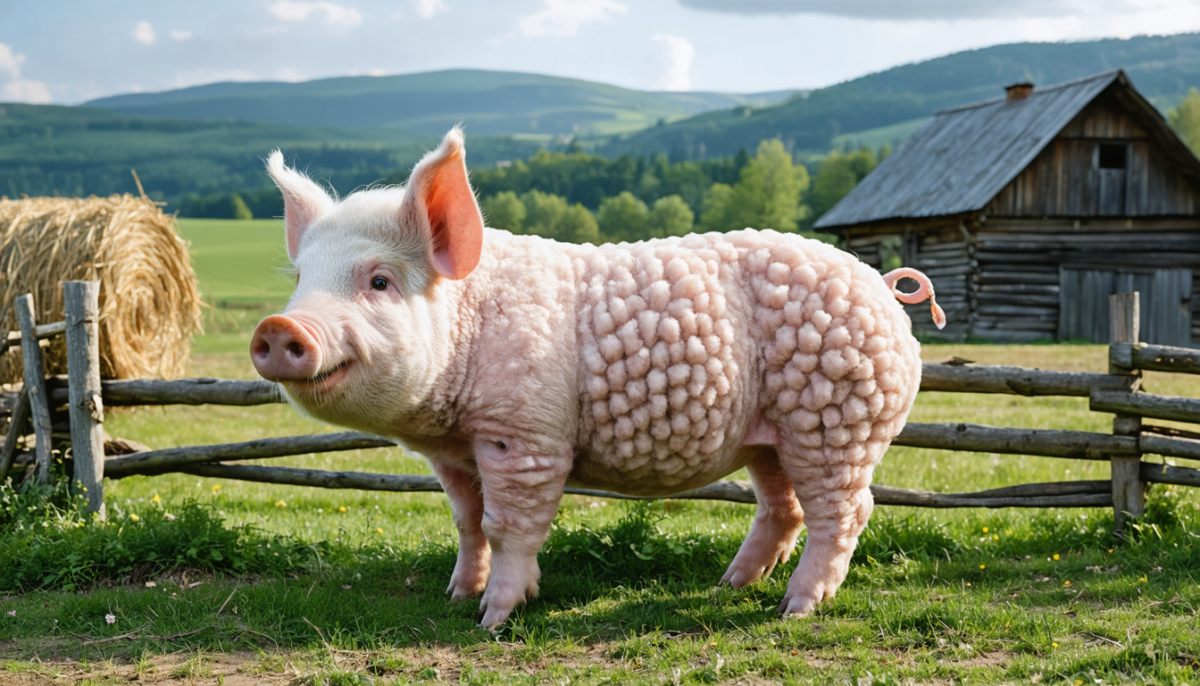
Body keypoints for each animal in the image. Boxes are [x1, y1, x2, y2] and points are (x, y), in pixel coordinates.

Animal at [251, 128, 945, 629]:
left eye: (379, 280)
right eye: (300, 278)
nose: (278, 325)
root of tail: (883, 285)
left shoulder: (525, 437)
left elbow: (508, 527)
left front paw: (492, 619)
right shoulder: (453, 454)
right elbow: (468, 523)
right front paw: (456, 597)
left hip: (838, 423)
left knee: (844, 511)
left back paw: (794, 609)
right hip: (771, 435)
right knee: (784, 507)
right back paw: (730, 584)